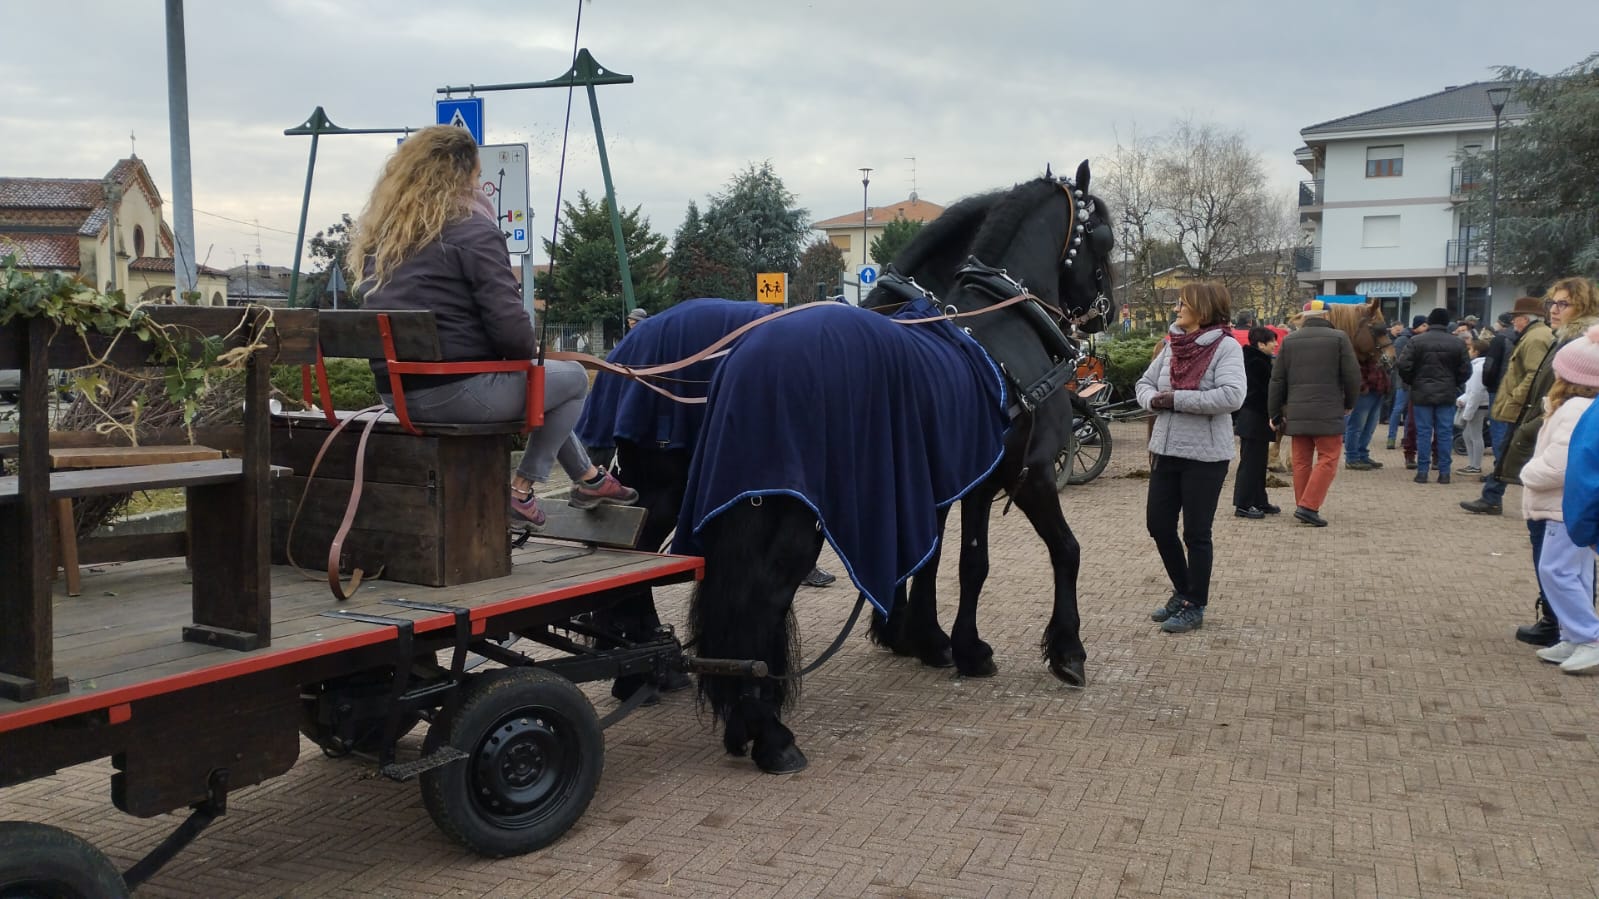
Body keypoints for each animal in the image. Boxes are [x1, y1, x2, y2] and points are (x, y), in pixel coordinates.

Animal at [684, 162, 1112, 771]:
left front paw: (952, 645)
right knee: (762, 599)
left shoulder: (966, 481)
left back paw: (744, 720)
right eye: (1105, 239)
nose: (1107, 310)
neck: (1003, 325)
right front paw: (1065, 650)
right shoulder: (1028, 474)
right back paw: (770, 733)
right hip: (794, 521)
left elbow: (964, 562)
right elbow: (1065, 550)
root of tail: (745, 361)